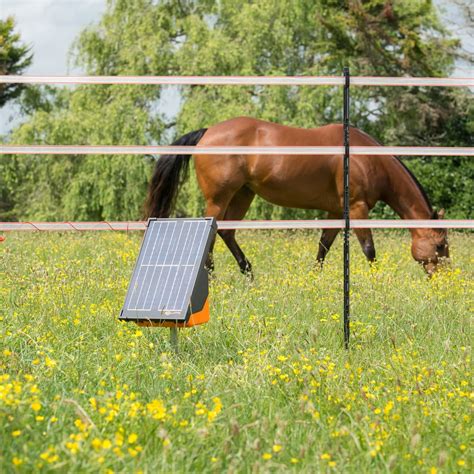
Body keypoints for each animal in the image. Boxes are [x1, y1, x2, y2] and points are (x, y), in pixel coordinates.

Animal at [143, 116, 448, 276]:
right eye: (440, 245)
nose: (445, 277)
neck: (364, 158)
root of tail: (207, 133)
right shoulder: (358, 208)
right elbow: (369, 249)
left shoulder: (336, 212)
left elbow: (323, 247)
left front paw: (315, 278)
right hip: (220, 199)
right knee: (212, 230)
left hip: (243, 195)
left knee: (227, 232)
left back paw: (248, 272)